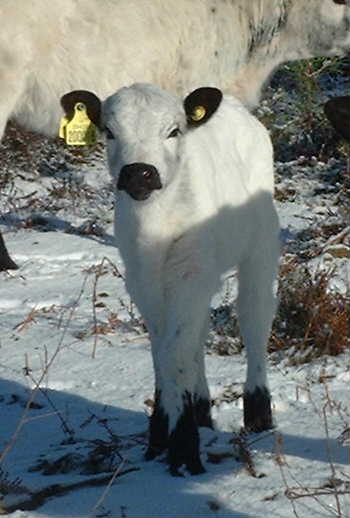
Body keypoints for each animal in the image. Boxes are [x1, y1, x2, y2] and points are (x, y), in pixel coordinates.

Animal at [60, 84, 278, 476]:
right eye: (109, 131)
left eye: (174, 131)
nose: (138, 173)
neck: (155, 226)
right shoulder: (141, 277)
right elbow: (162, 350)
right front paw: (161, 432)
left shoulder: (189, 273)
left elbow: (174, 351)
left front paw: (183, 449)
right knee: (199, 332)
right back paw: (202, 409)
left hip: (260, 242)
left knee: (255, 314)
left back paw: (257, 413)